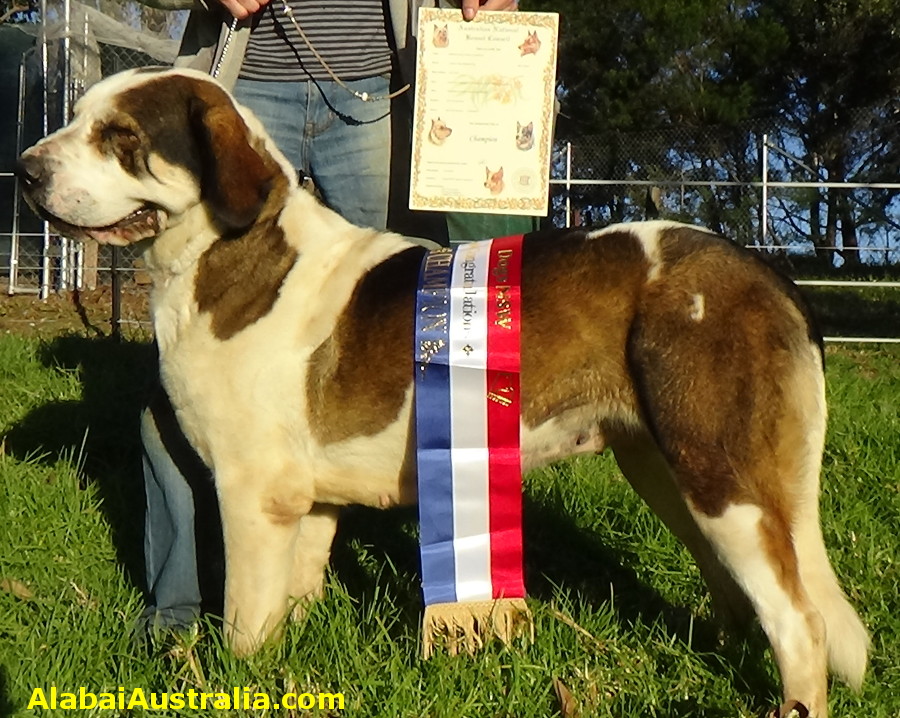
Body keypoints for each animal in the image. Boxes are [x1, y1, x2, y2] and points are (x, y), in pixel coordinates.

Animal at [15, 69, 872, 718]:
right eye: (79, 117)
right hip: (671, 472)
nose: (25, 169)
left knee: (799, 619)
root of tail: (764, 271)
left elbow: (246, 620)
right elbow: (293, 596)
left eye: (121, 136)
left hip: (719, 473)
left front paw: (240, 678)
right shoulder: (308, 503)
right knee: (742, 588)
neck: (229, 253)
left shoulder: (254, 495)